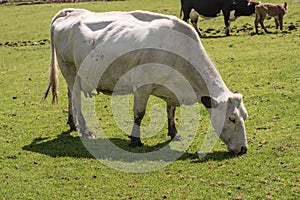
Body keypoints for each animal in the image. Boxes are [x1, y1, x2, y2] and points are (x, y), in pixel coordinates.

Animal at [42, 8, 248, 154]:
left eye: (244, 117)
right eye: (232, 118)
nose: (243, 148)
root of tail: (71, 13)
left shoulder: (171, 89)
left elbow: (171, 111)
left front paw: (174, 134)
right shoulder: (142, 87)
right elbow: (139, 114)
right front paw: (135, 140)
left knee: (70, 95)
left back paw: (72, 123)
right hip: (70, 70)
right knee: (76, 99)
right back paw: (85, 130)